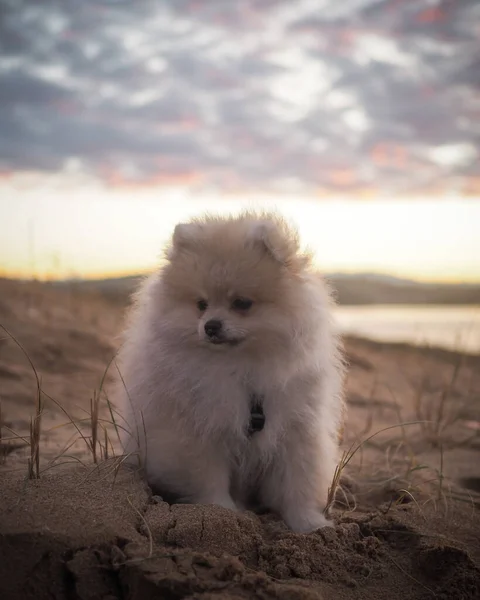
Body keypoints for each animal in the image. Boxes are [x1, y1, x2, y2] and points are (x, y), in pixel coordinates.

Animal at [118, 211, 346, 536]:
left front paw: (309, 524)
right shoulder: (199, 431)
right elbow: (210, 479)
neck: (240, 367)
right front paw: (221, 515)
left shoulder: (296, 430)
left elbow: (297, 485)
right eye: (201, 305)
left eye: (242, 303)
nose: (211, 325)